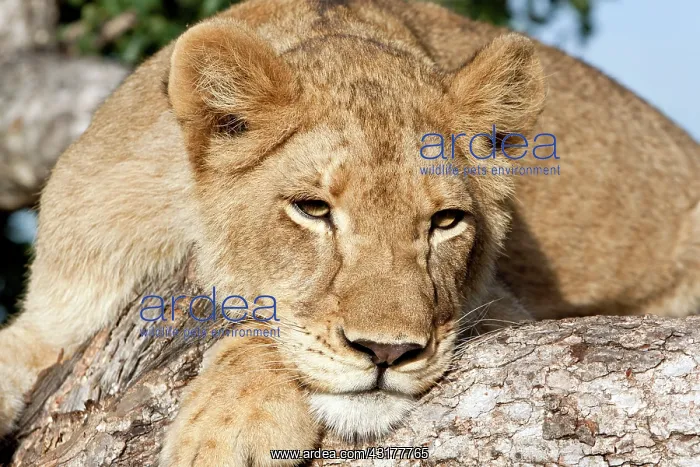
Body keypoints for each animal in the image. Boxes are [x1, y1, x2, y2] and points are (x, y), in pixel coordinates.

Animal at [0, 0, 697, 465]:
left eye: (445, 221)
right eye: (313, 210)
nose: (387, 353)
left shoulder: (506, 309)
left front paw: (227, 426)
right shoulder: (59, 309)